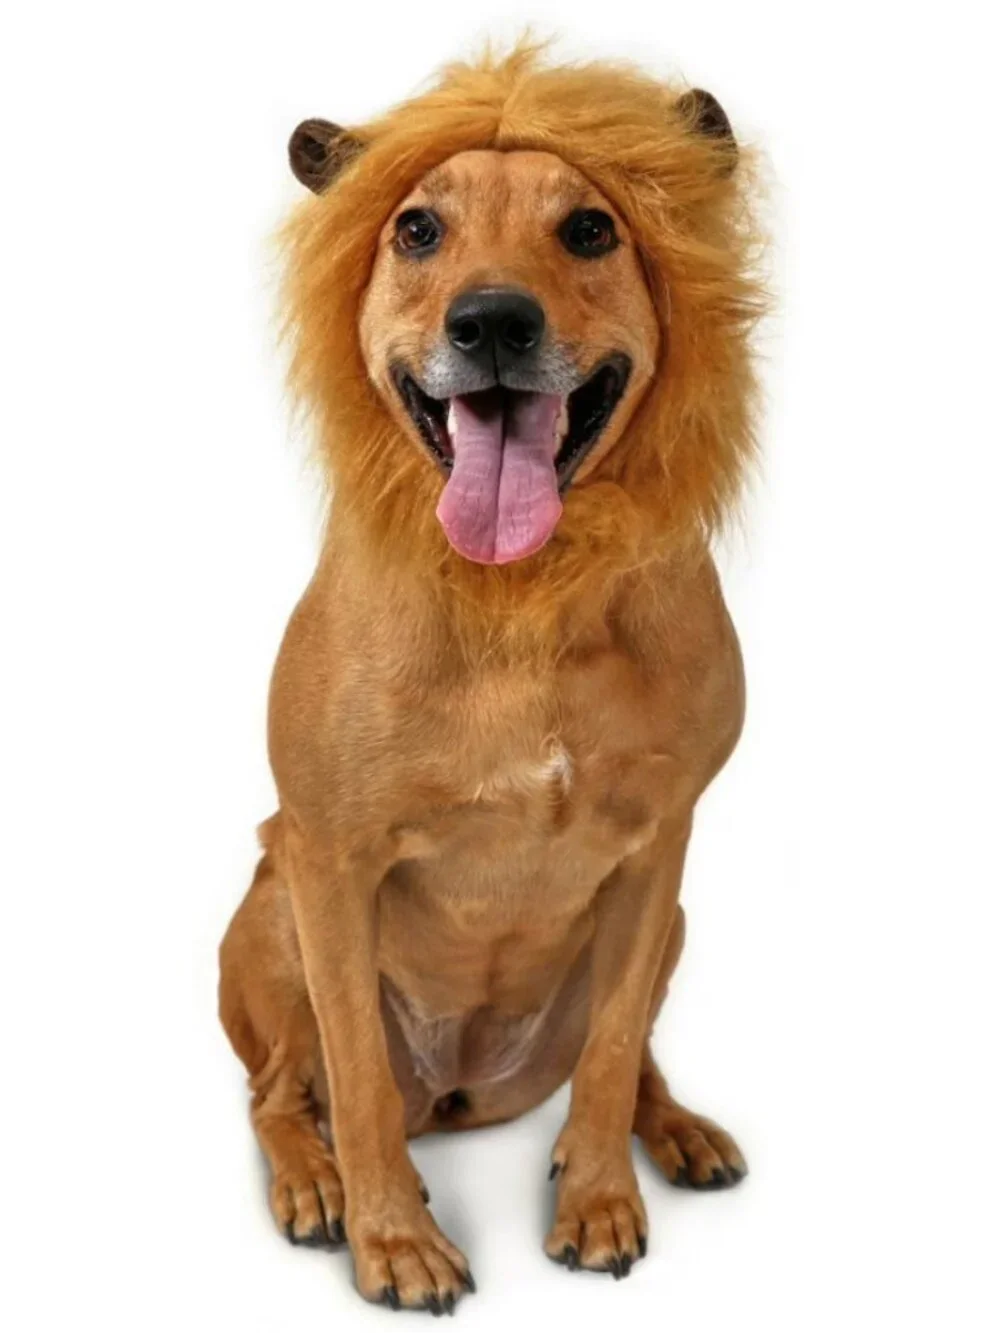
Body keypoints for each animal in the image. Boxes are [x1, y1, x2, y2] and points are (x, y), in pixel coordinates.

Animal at [219, 40, 768, 1313]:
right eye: (418, 229)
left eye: (590, 228)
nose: (493, 320)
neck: (523, 600)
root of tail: (463, 1094)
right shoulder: (329, 859)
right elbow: (356, 1078)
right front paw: (394, 1241)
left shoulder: (659, 847)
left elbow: (611, 1051)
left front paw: (599, 1199)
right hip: (267, 910)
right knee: (284, 1090)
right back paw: (312, 1181)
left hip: (667, 924)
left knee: (627, 1052)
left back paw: (668, 1131)